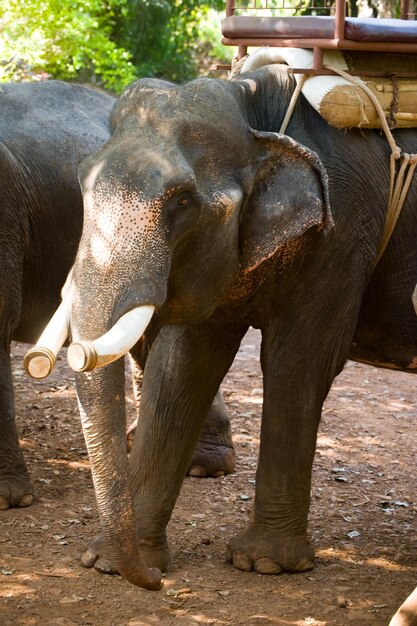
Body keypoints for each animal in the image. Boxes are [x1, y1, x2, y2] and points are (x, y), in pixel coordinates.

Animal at [56, 66, 416, 588]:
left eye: (183, 201)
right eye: (81, 179)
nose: (154, 581)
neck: (253, 113)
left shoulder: (344, 232)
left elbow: (299, 360)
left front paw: (264, 564)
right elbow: (184, 362)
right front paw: (110, 563)